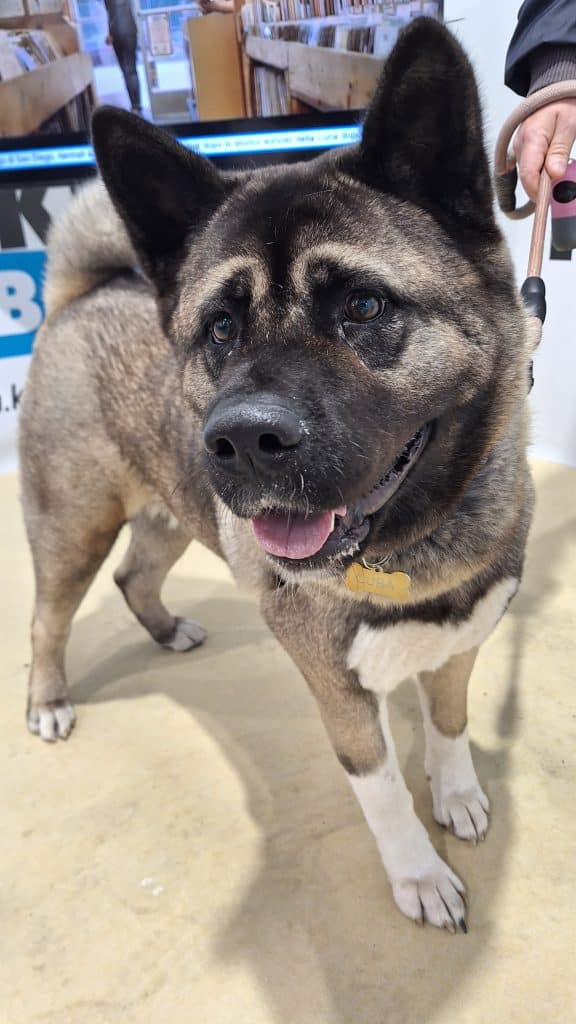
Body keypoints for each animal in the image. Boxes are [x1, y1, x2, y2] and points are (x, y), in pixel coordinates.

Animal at [19, 19, 534, 932]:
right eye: (220, 328)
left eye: (363, 306)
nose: (243, 440)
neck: (413, 542)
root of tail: (83, 293)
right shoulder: (340, 694)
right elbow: (382, 790)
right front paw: (418, 874)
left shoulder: (461, 645)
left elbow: (449, 723)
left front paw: (456, 791)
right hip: (73, 523)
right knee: (48, 619)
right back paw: (47, 699)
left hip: (170, 511)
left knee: (133, 575)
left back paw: (164, 628)